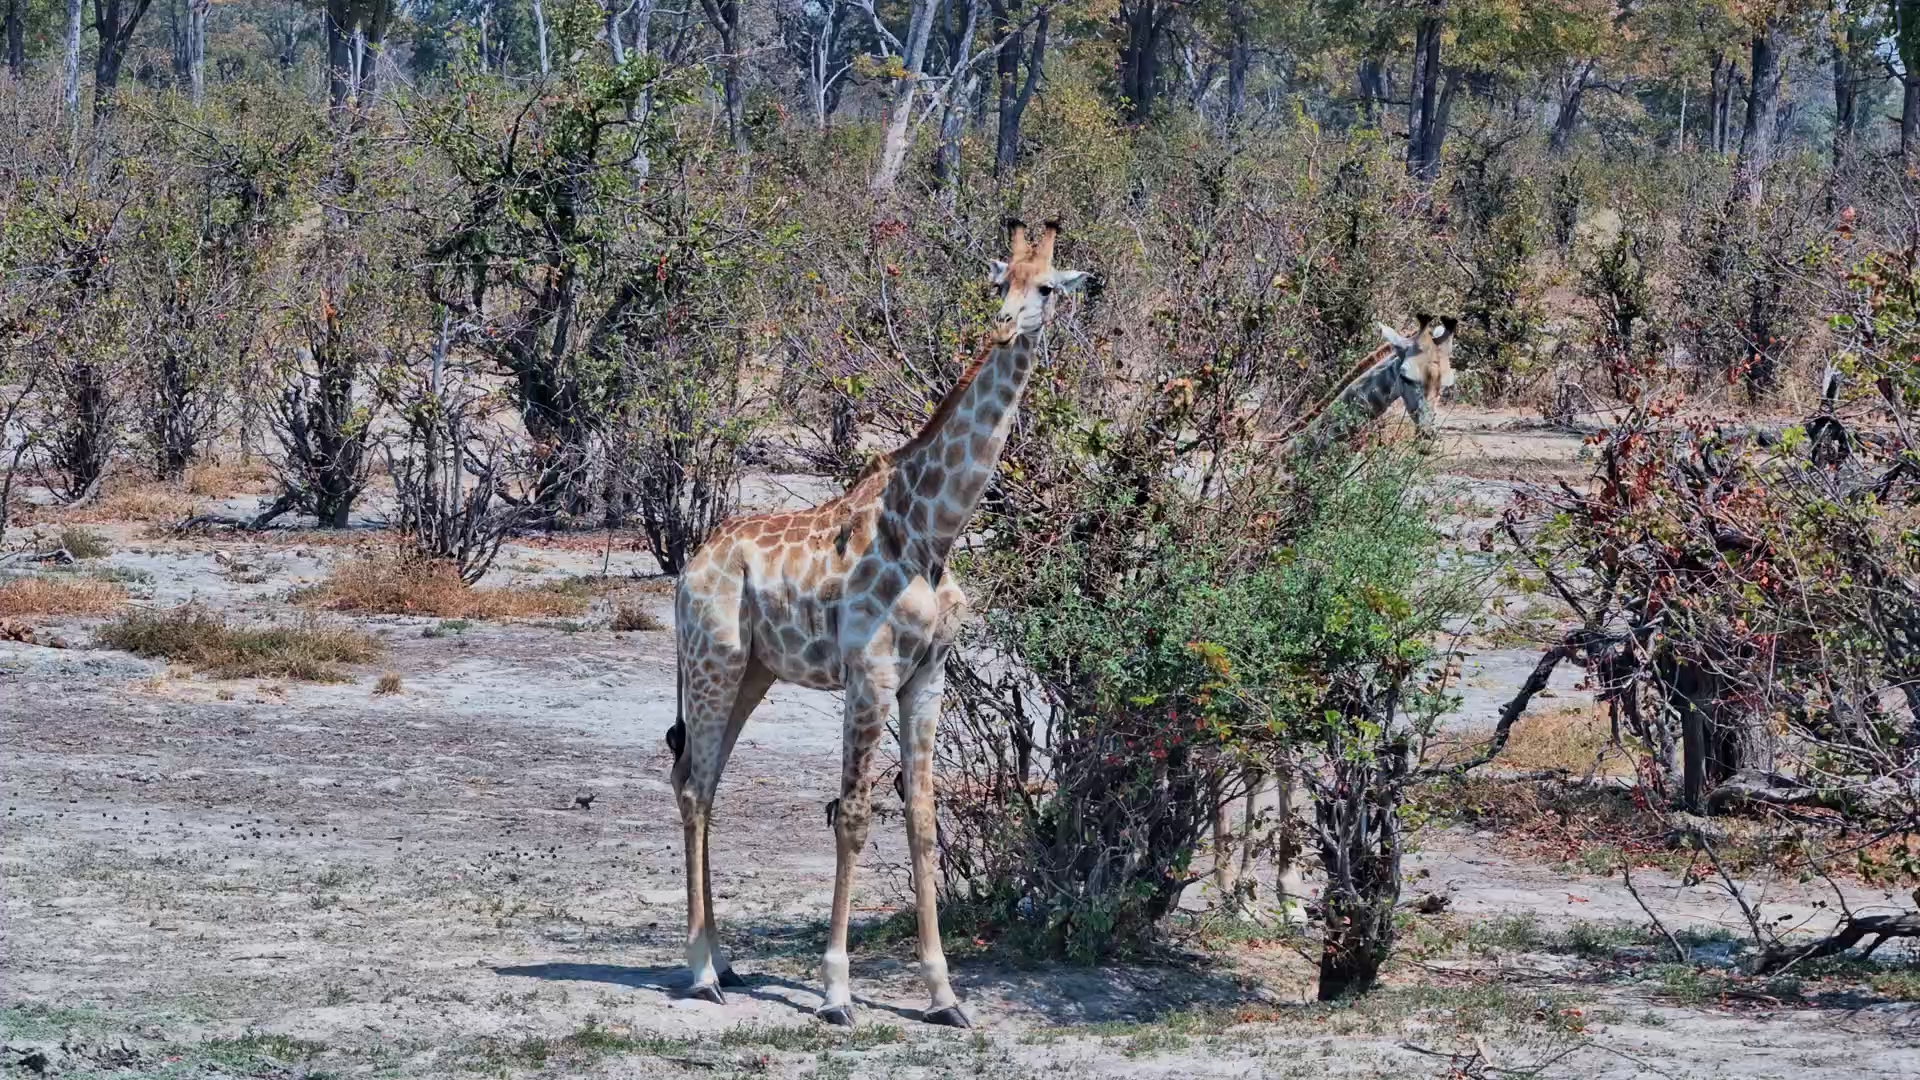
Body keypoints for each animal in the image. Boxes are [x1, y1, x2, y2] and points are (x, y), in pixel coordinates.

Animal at [667, 220, 1088, 1028]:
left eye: (1047, 288)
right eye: (999, 282)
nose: (1005, 324)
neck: (932, 530)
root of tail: (688, 566)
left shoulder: (927, 676)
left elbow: (922, 818)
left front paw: (945, 995)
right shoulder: (870, 671)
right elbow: (854, 815)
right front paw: (835, 992)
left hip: (753, 672)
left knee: (697, 778)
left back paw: (724, 961)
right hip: (714, 660)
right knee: (697, 787)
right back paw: (701, 972)